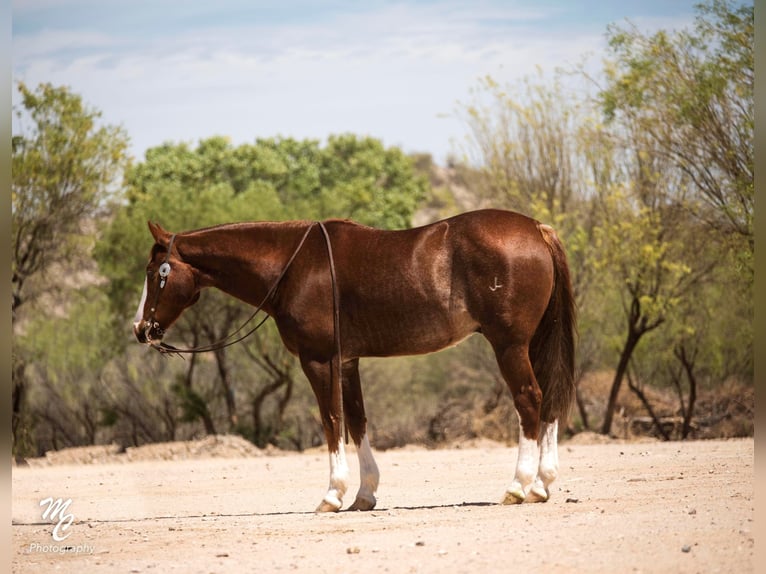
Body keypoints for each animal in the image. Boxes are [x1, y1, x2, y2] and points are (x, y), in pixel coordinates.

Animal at [134, 210, 576, 512]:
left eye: (156, 271)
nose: (141, 329)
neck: (294, 267)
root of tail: (536, 229)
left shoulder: (318, 360)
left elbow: (332, 421)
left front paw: (332, 494)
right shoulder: (347, 362)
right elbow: (357, 422)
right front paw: (364, 494)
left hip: (510, 345)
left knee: (530, 401)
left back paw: (518, 486)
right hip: (533, 343)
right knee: (550, 401)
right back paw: (542, 485)